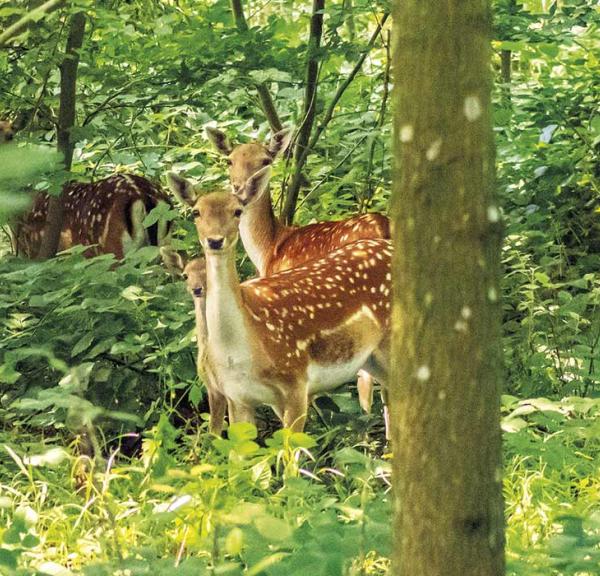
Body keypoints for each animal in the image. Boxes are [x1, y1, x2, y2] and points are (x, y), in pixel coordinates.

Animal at [166, 171, 392, 432]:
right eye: (196, 212)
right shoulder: (237, 397)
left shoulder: (296, 382)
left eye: (237, 211)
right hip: (371, 360)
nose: (215, 240)